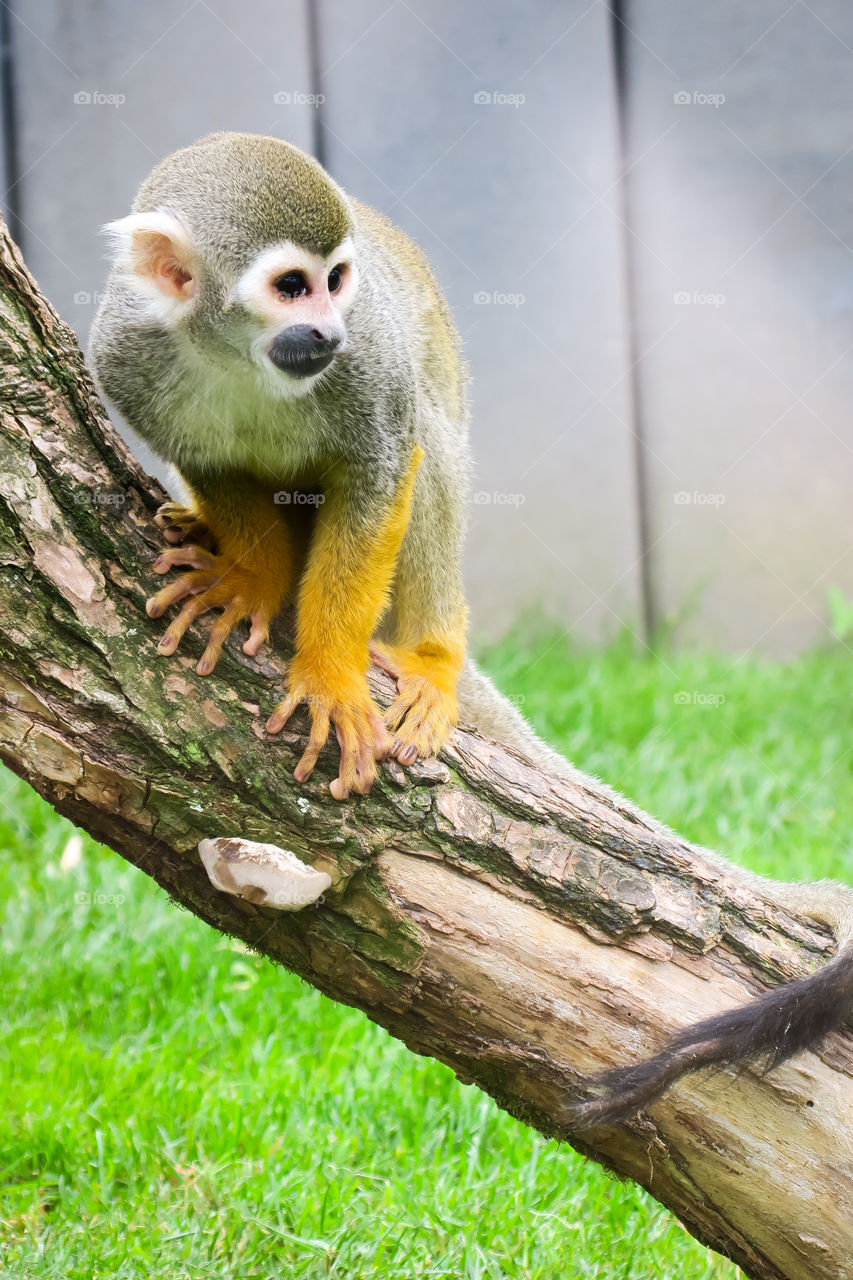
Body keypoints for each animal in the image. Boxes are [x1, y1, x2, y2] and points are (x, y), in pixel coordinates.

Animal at [89, 132, 853, 1112]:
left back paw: (427, 658)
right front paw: (251, 584)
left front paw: (329, 676)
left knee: (426, 432)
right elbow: (206, 455)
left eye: (335, 280)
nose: (328, 330)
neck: (236, 356)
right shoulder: (128, 353)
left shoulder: (365, 364)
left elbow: (384, 460)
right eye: (291, 287)